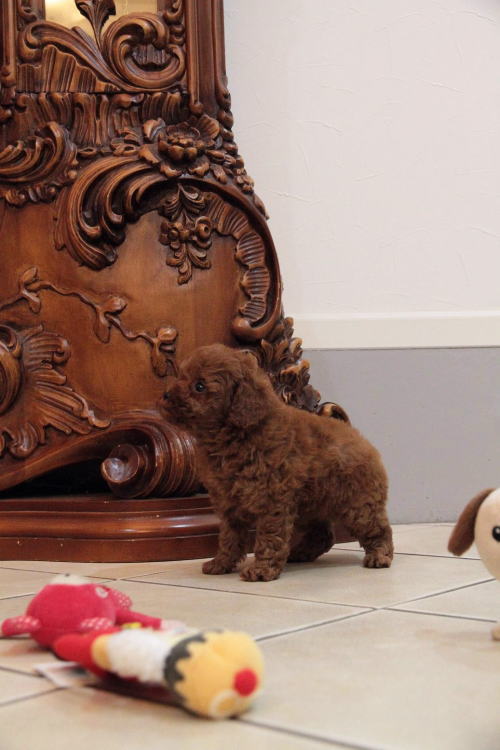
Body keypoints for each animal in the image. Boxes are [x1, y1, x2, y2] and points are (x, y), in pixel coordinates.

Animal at [162, 344, 393, 581]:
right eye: (180, 376)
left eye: (199, 386)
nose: (166, 395)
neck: (232, 436)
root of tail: (355, 434)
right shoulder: (228, 504)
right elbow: (229, 537)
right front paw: (221, 563)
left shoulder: (271, 500)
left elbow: (269, 537)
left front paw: (261, 570)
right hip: (311, 504)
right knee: (323, 535)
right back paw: (301, 553)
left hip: (358, 503)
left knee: (378, 528)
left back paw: (379, 556)